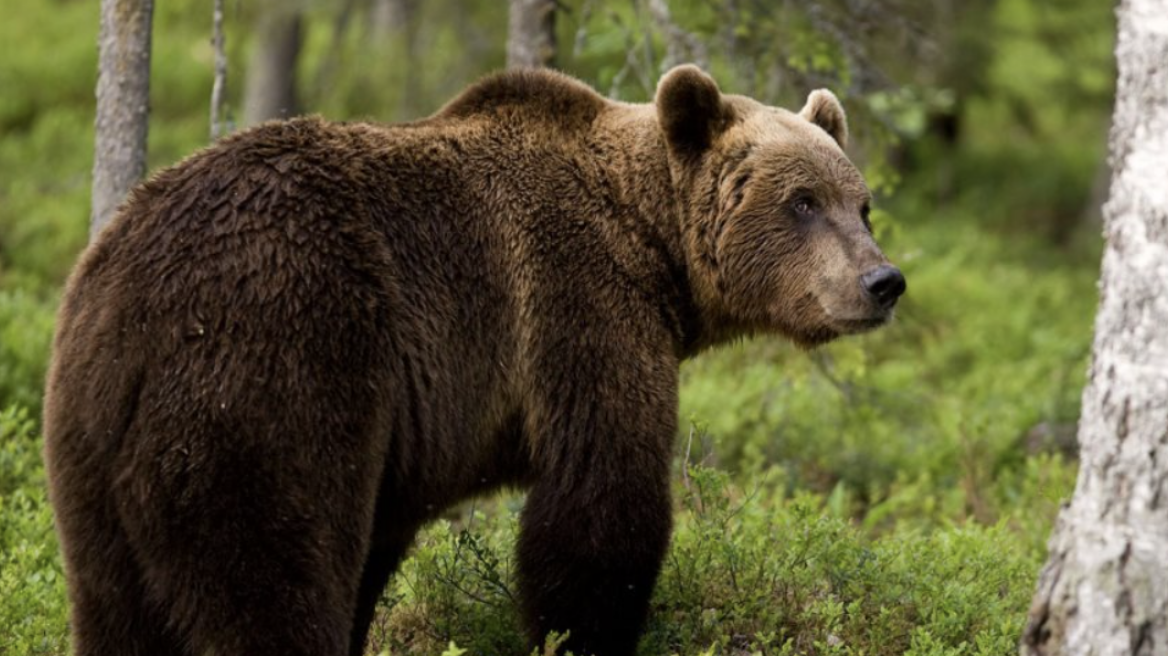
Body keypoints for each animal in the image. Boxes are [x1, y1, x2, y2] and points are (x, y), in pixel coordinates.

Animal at [43, 65, 901, 653]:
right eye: (801, 202)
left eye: (861, 204)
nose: (882, 281)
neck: (654, 247)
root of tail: (131, 296)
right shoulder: (580, 307)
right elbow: (600, 504)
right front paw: (584, 631)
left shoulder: (403, 436)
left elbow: (382, 546)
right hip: (271, 378)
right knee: (272, 579)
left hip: (93, 452)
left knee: (116, 608)